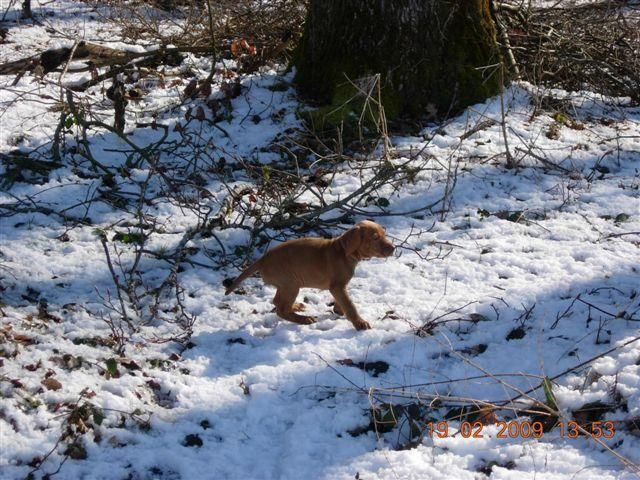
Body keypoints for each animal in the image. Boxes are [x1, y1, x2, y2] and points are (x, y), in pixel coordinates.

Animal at [224, 220, 394, 330]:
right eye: (375, 237)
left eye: (383, 234)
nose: (394, 248)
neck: (343, 252)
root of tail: (262, 259)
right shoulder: (337, 286)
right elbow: (350, 305)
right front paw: (359, 323)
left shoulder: (340, 287)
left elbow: (343, 302)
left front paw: (338, 310)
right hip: (291, 284)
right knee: (281, 309)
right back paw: (304, 319)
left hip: (287, 285)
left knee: (278, 302)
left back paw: (296, 307)